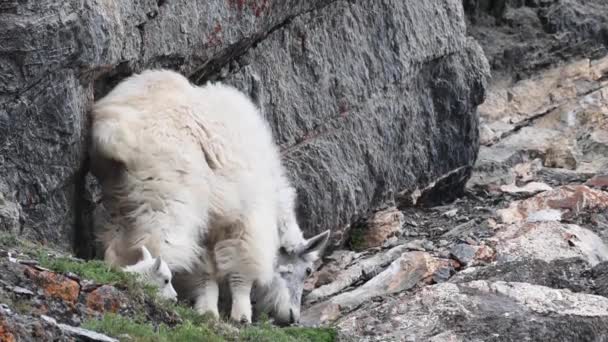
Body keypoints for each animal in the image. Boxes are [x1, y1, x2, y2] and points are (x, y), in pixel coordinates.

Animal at [88, 68, 330, 324]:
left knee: (115, 246)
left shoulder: (209, 227)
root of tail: (117, 131)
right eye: (307, 270)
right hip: (169, 198)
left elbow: (204, 273)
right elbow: (241, 270)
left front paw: (208, 311)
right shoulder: (247, 222)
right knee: (160, 246)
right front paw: (241, 316)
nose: (292, 316)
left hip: (119, 198)